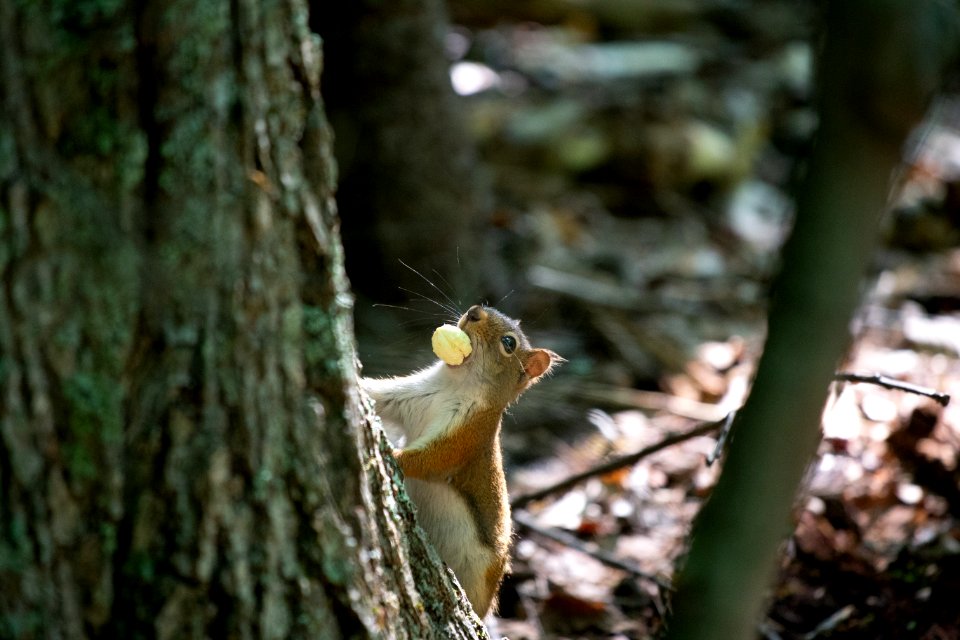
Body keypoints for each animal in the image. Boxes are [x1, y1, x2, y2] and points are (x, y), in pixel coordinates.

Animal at [360, 304, 560, 616]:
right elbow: (376, 395)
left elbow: (432, 460)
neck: (451, 384)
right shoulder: (409, 394)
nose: (474, 311)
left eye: (509, 343)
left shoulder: (466, 435)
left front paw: (391, 455)